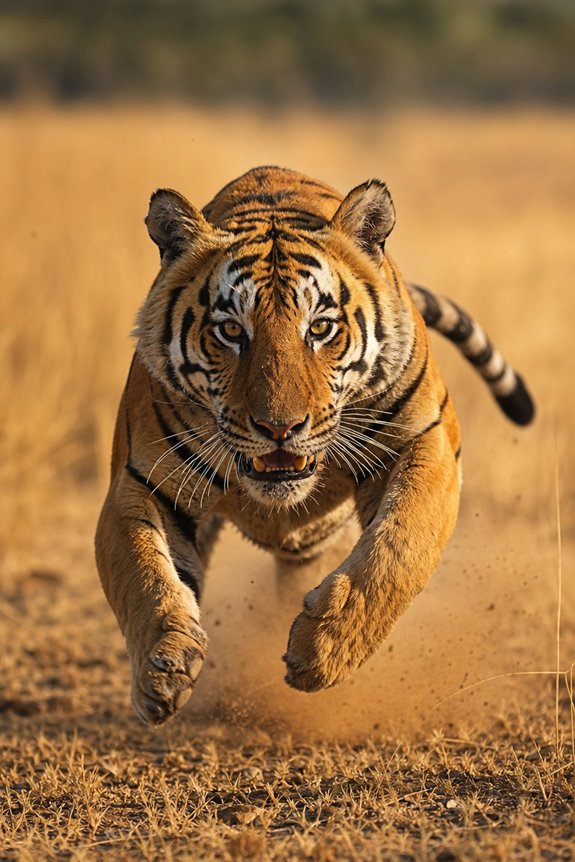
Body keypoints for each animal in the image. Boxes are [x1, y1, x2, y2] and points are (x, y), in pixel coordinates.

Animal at [95, 166, 534, 726]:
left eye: (321, 327)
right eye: (231, 330)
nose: (279, 428)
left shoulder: (428, 441)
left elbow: (398, 547)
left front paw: (322, 650)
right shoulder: (140, 480)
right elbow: (143, 571)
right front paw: (161, 668)